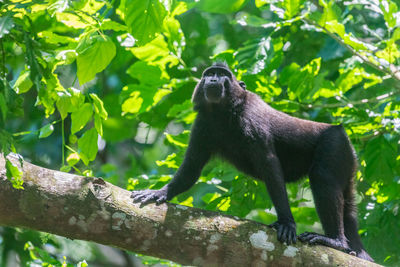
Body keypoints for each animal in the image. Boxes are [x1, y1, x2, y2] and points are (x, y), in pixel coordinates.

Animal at [130, 62, 372, 262]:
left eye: (223, 74)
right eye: (209, 73)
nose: (213, 80)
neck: (224, 111)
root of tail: (344, 135)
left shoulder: (251, 120)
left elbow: (270, 166)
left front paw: (286, 222)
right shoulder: (202, 124)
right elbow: (191, 167)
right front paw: (160, 193)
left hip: (335, 144)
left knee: (322, 177)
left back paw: (336, 241)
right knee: (348, 208)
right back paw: (353, 249)